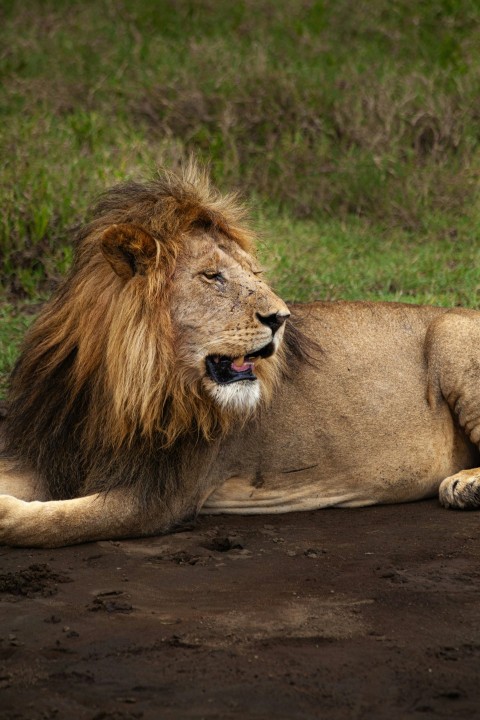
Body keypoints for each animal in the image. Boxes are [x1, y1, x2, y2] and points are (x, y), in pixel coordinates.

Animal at [0, 163, 480, 544]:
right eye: (212, 276)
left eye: (254, 274)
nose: (281, 317)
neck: (117, 386)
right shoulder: (51, 452)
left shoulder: (157, 497)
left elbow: (56, 522)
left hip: (453, 334)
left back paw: (464, 485)